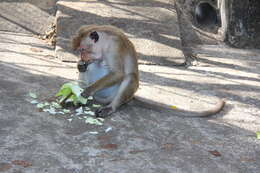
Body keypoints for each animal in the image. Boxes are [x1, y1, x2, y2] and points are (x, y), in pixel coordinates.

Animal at [71, 24, 225, 117]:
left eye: (83, 49)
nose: (82, 57)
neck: (105, 40)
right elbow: (87, 67)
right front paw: (81, 65)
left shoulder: (115, 46)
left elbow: (118, 73)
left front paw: (87, 91)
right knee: (90, 68)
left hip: (114, 95)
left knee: (129, 78)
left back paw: (111, 106)